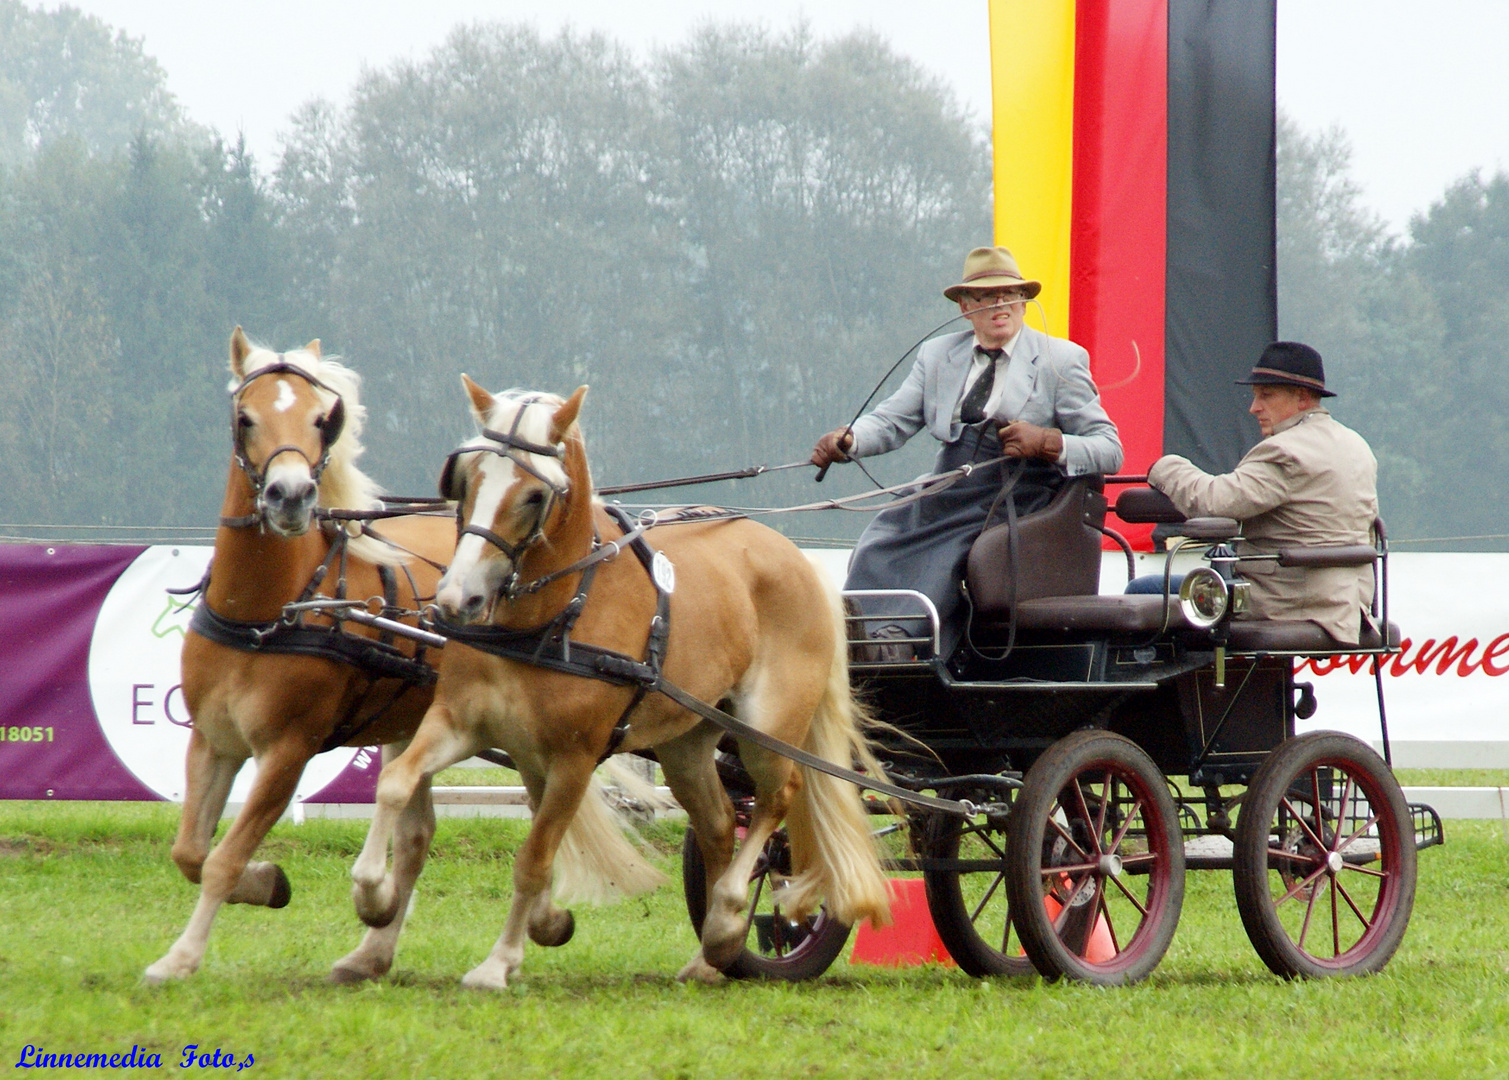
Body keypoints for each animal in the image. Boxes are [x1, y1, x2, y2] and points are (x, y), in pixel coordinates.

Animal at [144, 331, 455, 989]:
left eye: (321, 418)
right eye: (245, 417)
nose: (290, 495)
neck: (266, 614)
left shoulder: (287, 751)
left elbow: (222, 858)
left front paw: (182, 957)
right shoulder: (213, 741)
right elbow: (191, 852)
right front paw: (266, 882)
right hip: (417, 720)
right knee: (417, 835)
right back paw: (372, 947)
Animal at [347, 380, 887, 989]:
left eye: (534, 495)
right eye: (466, 479)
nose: (458, 599)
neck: (552, 617)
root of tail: (796, 557)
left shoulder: (576, 759)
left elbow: (534, 859)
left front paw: (499, 962)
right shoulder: (462, 725)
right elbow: (396, 783)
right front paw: (374, 895)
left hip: (767, 729)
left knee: (777, 801)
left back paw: (727, 919)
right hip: (686, 743)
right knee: (720, 823)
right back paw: (709, 954)